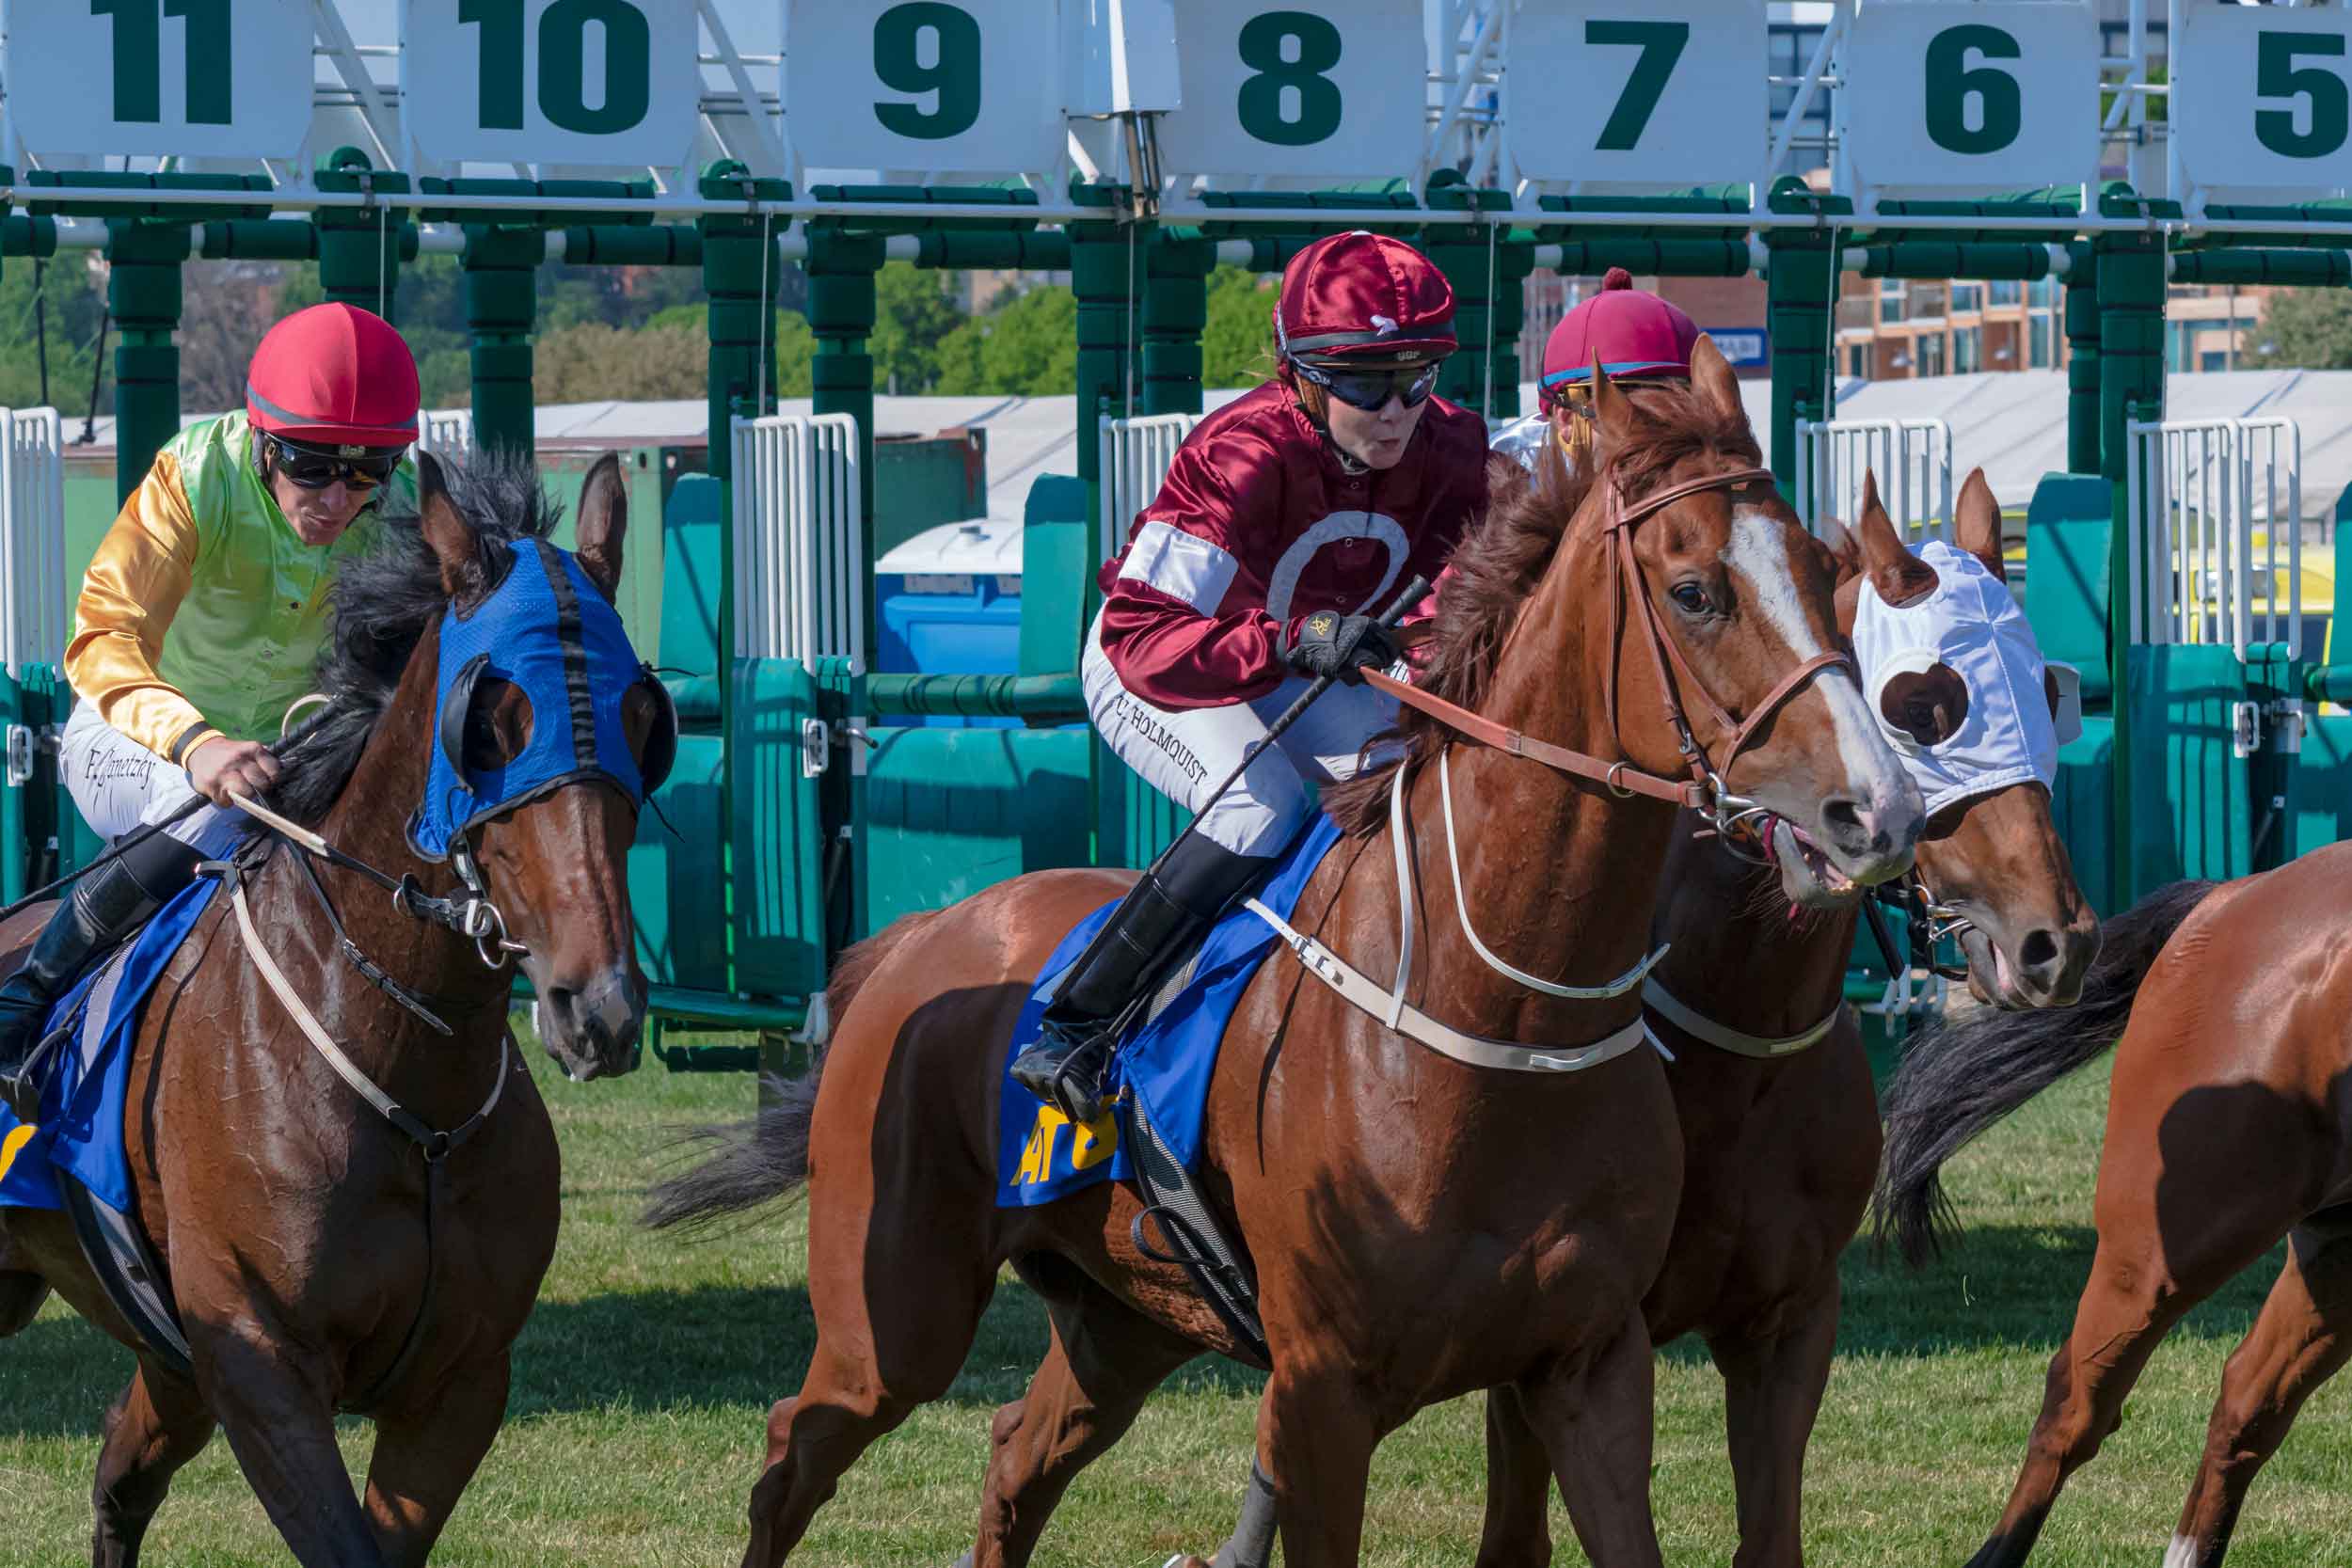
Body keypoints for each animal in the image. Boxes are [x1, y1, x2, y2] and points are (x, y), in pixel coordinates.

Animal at [0, 453, 654, 1568]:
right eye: (488, 723)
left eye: (645, 717)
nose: (597, 1005)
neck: (409, 1091)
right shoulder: (258, 1359)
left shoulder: (461, 1380)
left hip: (163, 1359)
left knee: (120, 1476)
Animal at [654, 342, 1919, 1568]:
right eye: (1696, 590)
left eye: (1824, 572)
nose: (1877, 809)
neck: (1508, 1011)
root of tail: (917, 936)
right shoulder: (1321, 1392)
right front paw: (1329, 635)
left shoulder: (1589, 1358)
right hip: (894, 1315)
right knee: (793, 1452)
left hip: (1120, 1320)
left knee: (1016, 1452)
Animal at [1289, 474, 2098, 1568]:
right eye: (1925, 705)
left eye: (2048, 692)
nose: (2056, 940)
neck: (1738, 1043)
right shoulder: (1554, 1334)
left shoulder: (1787, 1319)